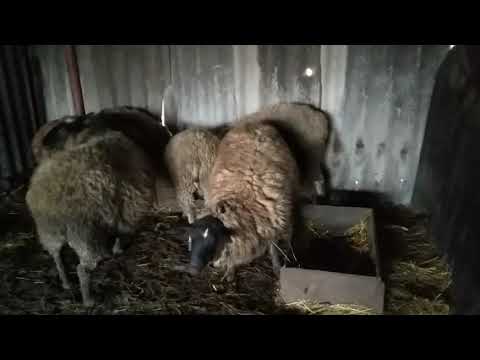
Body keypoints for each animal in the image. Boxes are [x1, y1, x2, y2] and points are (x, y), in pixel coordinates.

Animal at [25, 126, 175, 306]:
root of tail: (48, 201)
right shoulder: (129, 212)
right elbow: (122, 233)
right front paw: (117, 250)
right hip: (85, 235)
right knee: (82, 269)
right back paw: (88, 300)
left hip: (48, 231)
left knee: (56, 256)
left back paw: (66, 283)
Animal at [176, 121, 300, 282]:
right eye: (190, 240)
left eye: (213, 242)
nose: (193, 270)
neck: (241, 202)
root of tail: (254, 125)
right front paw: (230, 271)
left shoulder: (272, 222)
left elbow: (273, 248)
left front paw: (277, 268)